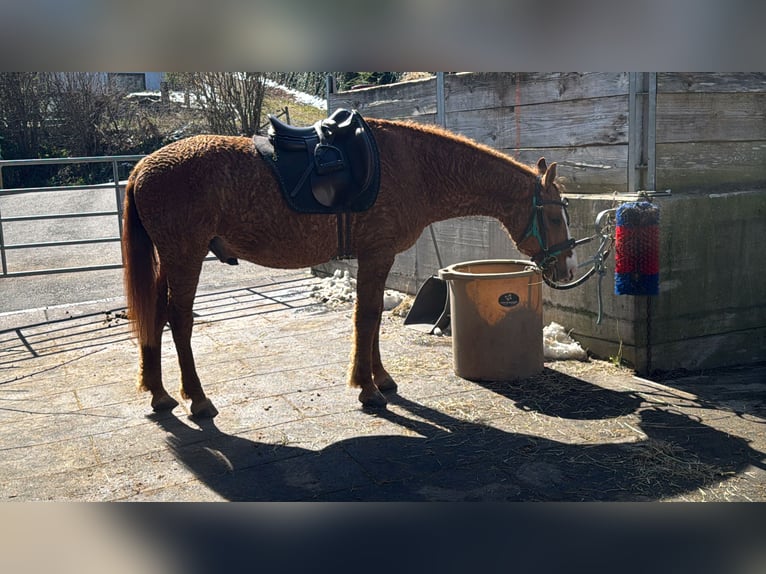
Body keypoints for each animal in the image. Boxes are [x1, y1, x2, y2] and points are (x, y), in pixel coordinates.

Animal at [122, 118, 576, 418]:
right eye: (555, 216)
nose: (566, 270)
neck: (414, 166)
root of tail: (141, 167)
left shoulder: (378, 257)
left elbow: (369, 318)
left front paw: (380, 378)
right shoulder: (377, 254)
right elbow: (367, 317)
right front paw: (368, 389)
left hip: (169, 260)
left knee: (154, 316)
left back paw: (159, 394)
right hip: (185, 256)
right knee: (179, 320)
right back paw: (197, 399)